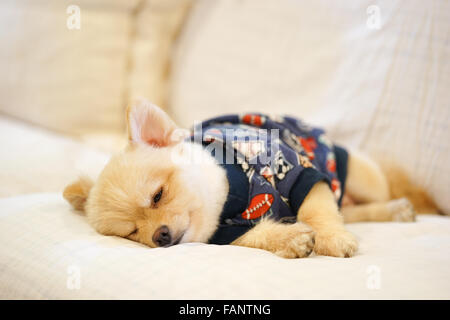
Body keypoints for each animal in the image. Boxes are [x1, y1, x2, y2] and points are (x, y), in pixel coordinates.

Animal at [61, 99, 438, 258]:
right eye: (132, 233)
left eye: (158, 195)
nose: (160, 236)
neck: (231, 194)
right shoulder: (226, 235)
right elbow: (256, 234)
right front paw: (289, 239)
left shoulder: (301, 173)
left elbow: (317, 212)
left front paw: (331, 239)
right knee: (349, 209)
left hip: (362, 177)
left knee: (363, 195)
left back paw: (395, 208)